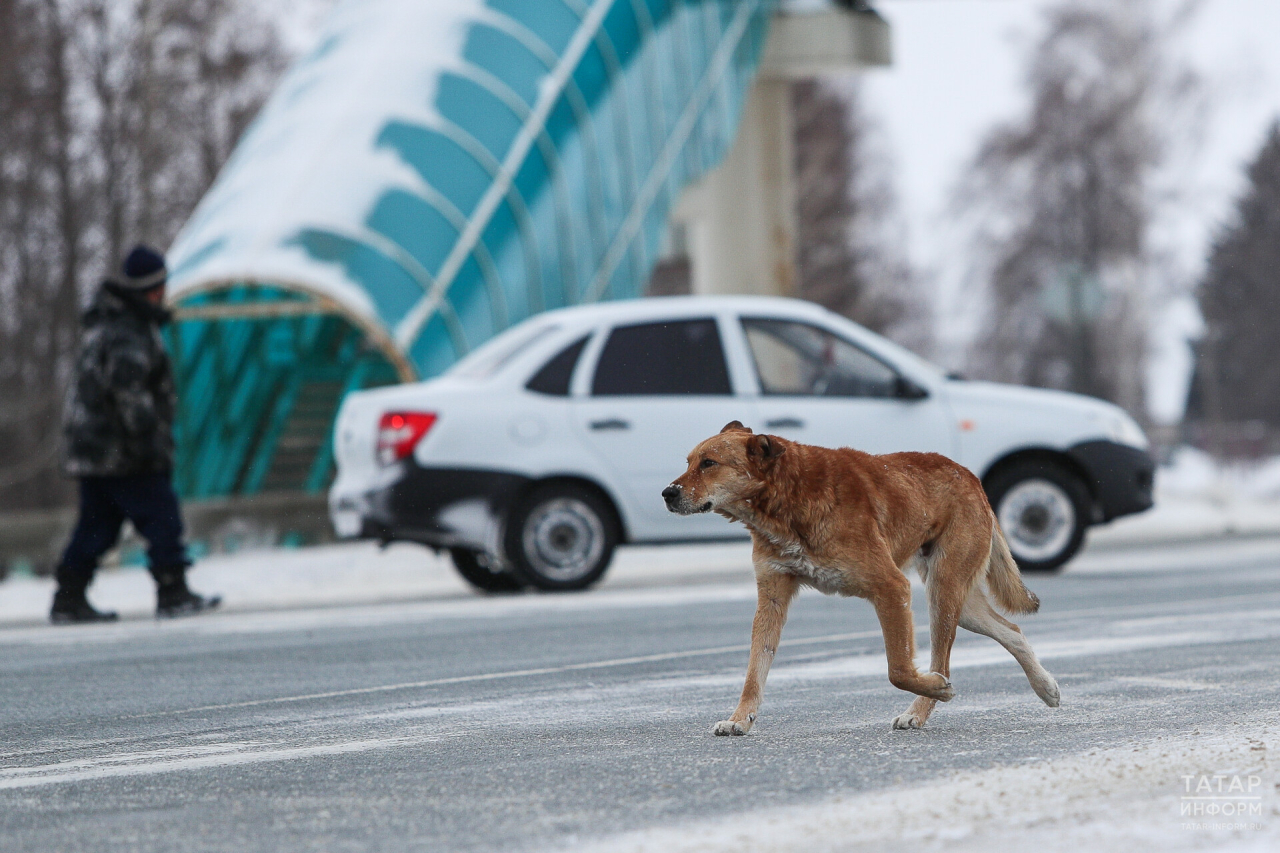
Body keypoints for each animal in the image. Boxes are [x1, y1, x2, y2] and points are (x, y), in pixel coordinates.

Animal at [660, 417, 1059, 732]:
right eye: (688, 462)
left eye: (708, 463)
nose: (667, 493)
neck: (786, 500)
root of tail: (971, 477)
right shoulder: (771, 599)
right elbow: (754, 671)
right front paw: (740, 719)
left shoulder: (891, 588)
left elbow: (898, 669)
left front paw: (936, 687)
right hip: (959, 603)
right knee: (1012, 630)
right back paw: (1046, 687)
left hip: (944, 594)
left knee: (943, 660)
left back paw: (921, 708)